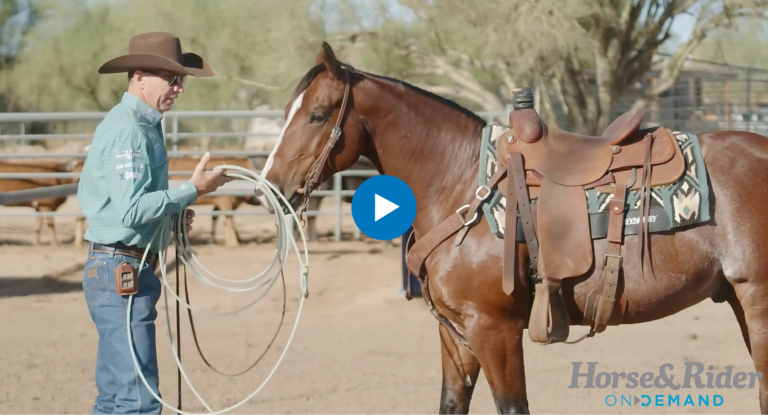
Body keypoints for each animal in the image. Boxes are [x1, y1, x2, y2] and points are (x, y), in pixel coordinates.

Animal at [258, 42, 768, 414]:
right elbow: (451, 404)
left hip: (757, 303)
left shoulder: (494, 330)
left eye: (317, 115)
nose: (269, 189)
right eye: (284, 111)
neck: (461, 182)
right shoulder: (455, 333)